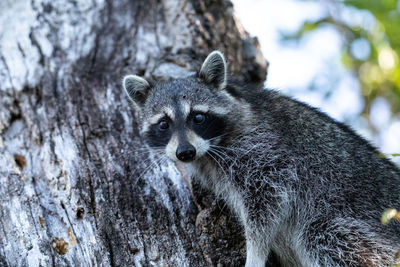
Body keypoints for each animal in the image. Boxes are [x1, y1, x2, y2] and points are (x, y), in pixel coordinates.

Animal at [123, 51, 400, 266]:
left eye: (198, 117)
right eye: (164, 124)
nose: (185, 152)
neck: (210, 149)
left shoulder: (264, 149)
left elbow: (268, 201)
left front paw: (255, 255)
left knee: (323, 235)